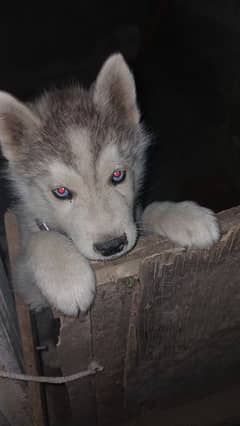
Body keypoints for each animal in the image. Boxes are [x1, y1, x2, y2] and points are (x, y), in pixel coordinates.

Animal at [0, 54, 219, 316]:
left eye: (117, 175)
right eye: (61, 191)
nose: (111, 245)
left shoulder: (135, 217)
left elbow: (146, 212)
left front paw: (184, 216)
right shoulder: (27, 286)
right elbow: (41, 238)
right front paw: (66, 276)